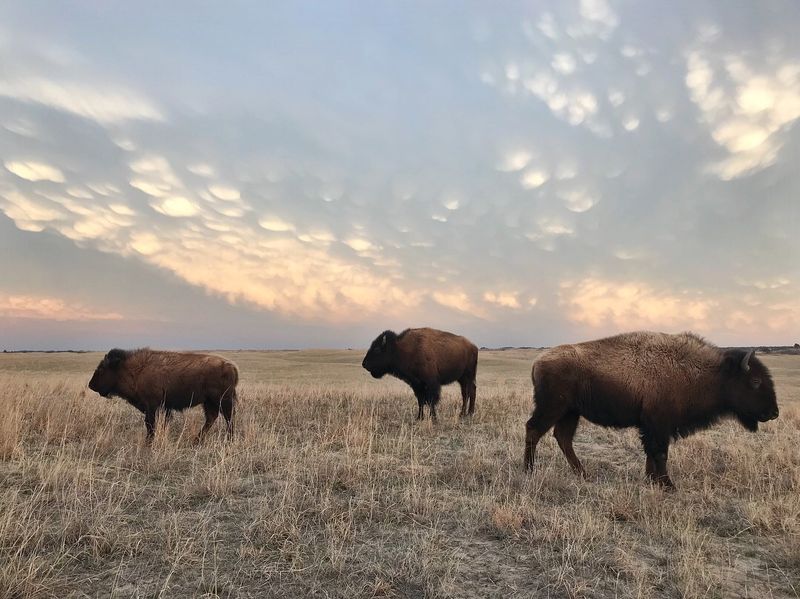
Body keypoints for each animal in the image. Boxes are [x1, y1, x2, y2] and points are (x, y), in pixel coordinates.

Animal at [88, 348, 239, 442]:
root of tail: (231, 367)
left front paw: (148, 442)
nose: (91, 385)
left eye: (102, 369)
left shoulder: (151, 406)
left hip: (222, 400)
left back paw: (229, 440)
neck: (134, 369)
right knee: (212, 418)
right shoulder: (164, 407)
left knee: (228, 418)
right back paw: (196, 441)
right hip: (209, 402)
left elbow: (150, 424)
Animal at [524, 331, 779, 489]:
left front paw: (652, 480)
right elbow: (660, 453)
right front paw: (668, 485)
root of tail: (538, 361)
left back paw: (583, 474)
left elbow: (651, 453)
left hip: (570, 412)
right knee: (534, 430)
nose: (774, 413)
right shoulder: (659, 425)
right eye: (755, 381)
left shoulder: (652, 427)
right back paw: (529, 470)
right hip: (553, 408)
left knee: (563, 438)